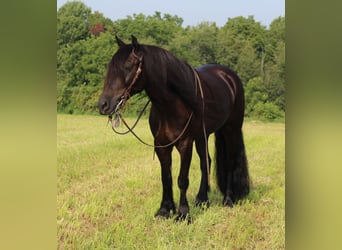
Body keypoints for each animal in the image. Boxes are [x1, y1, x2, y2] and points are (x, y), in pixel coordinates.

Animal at [97, 36, 250, 222]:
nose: (103, 105)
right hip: (203, 136)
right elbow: (166, 177)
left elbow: (182, 179)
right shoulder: (161, 145)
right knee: (206, 162)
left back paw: (228, 200)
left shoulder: (185, 144)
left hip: (231, 130)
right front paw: (165, 210)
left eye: (128, 66)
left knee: (229, 163)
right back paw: (202, 200)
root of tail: (230, 77)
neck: (171, 105)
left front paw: (183, 213)